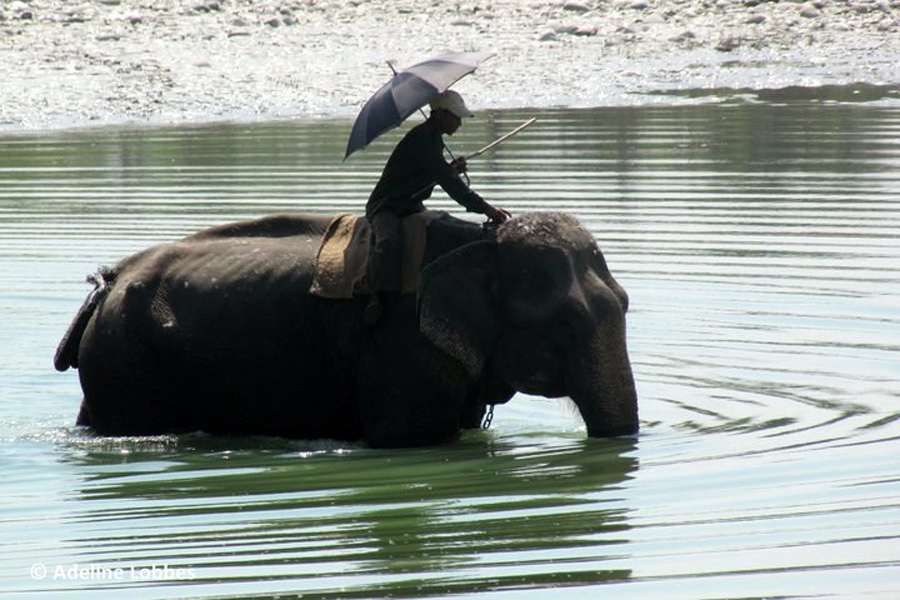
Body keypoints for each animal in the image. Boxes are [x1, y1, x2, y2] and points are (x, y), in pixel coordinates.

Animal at [54, 211, 640, 446]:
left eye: (627, 304)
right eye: (565, 321)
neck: (479, 243)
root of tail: (107, 280)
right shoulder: (403, 343)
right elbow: (414, 437)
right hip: (129, 363)